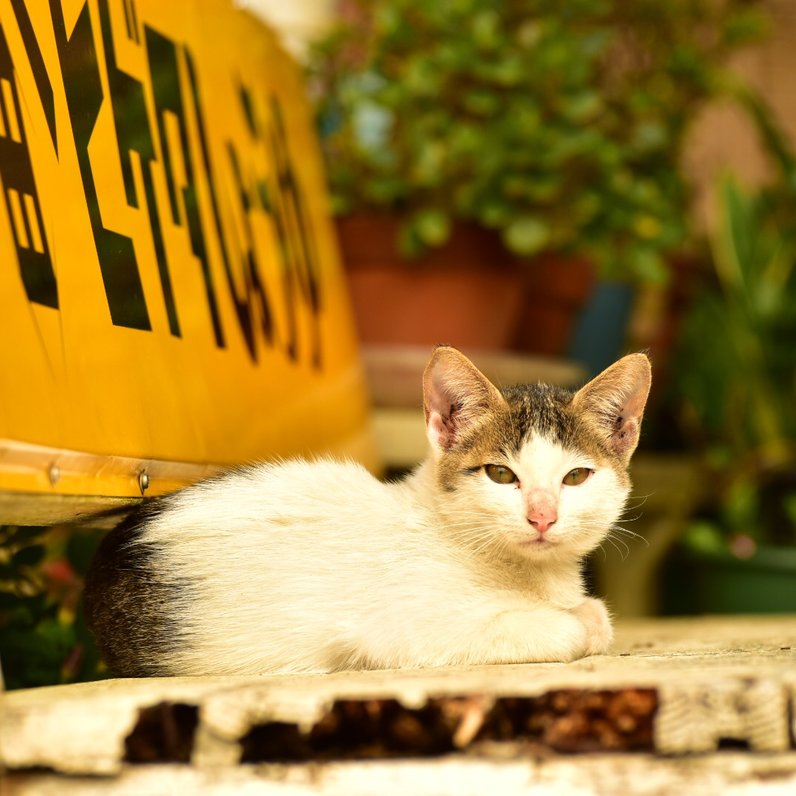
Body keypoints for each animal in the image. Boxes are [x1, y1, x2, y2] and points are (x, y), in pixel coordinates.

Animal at [84, 346, 648, 676]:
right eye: (500, 474)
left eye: (575, 477)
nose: (542, 516)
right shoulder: (402, 629)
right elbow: (576, 627)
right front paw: (576, 621)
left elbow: (595, 613)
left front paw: (584, 610)